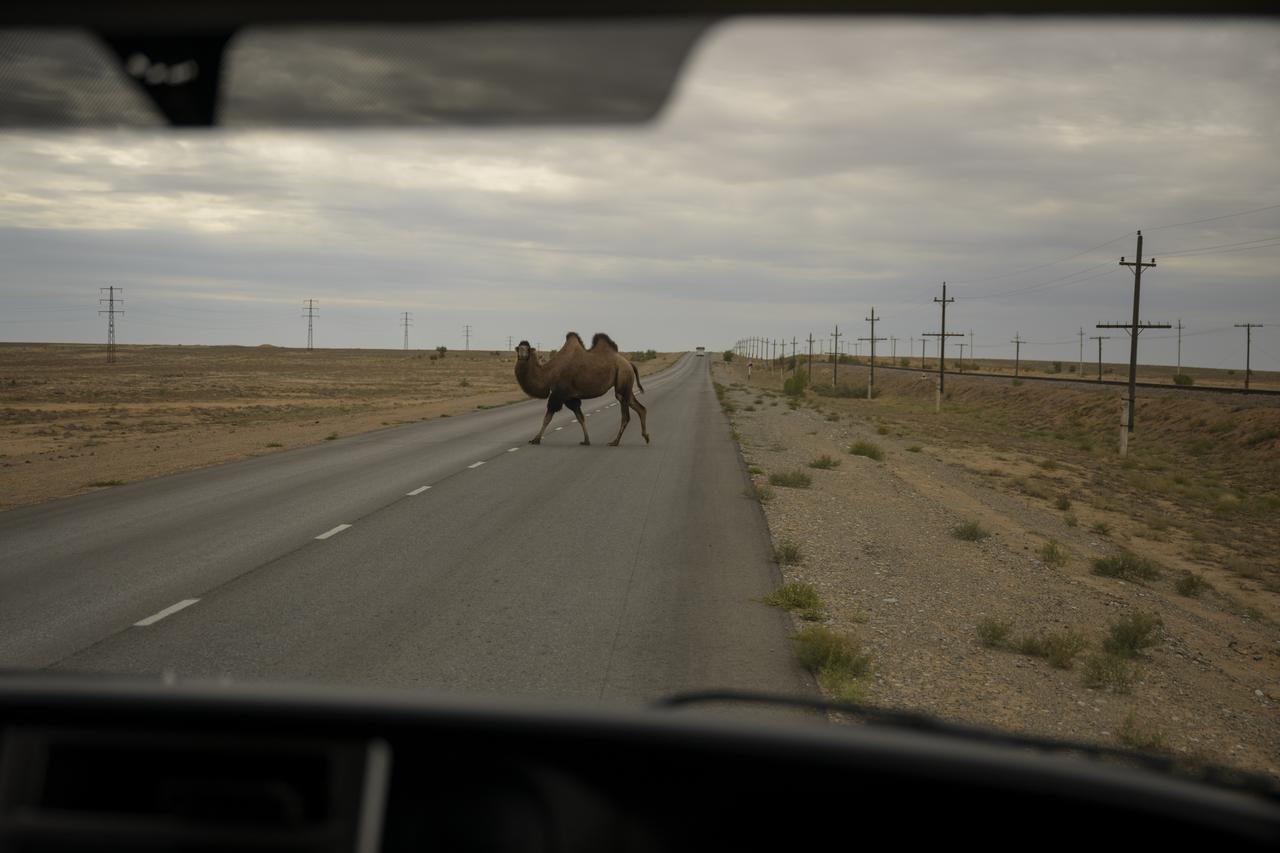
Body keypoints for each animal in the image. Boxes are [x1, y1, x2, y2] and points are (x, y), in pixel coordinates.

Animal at [514, 332, 650, 446]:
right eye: (519, 348)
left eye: (527, 348)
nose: (522, 355)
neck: (548, 374)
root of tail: (629, 363)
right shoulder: (570, 397)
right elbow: (580, 418)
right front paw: (586, 440)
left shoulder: (559, 394)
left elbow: (547, 418)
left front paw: (535, 439)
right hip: (625, 384)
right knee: (640, 408)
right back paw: (646, 436)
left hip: (623, 377)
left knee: (625, 415)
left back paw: (615, 442)